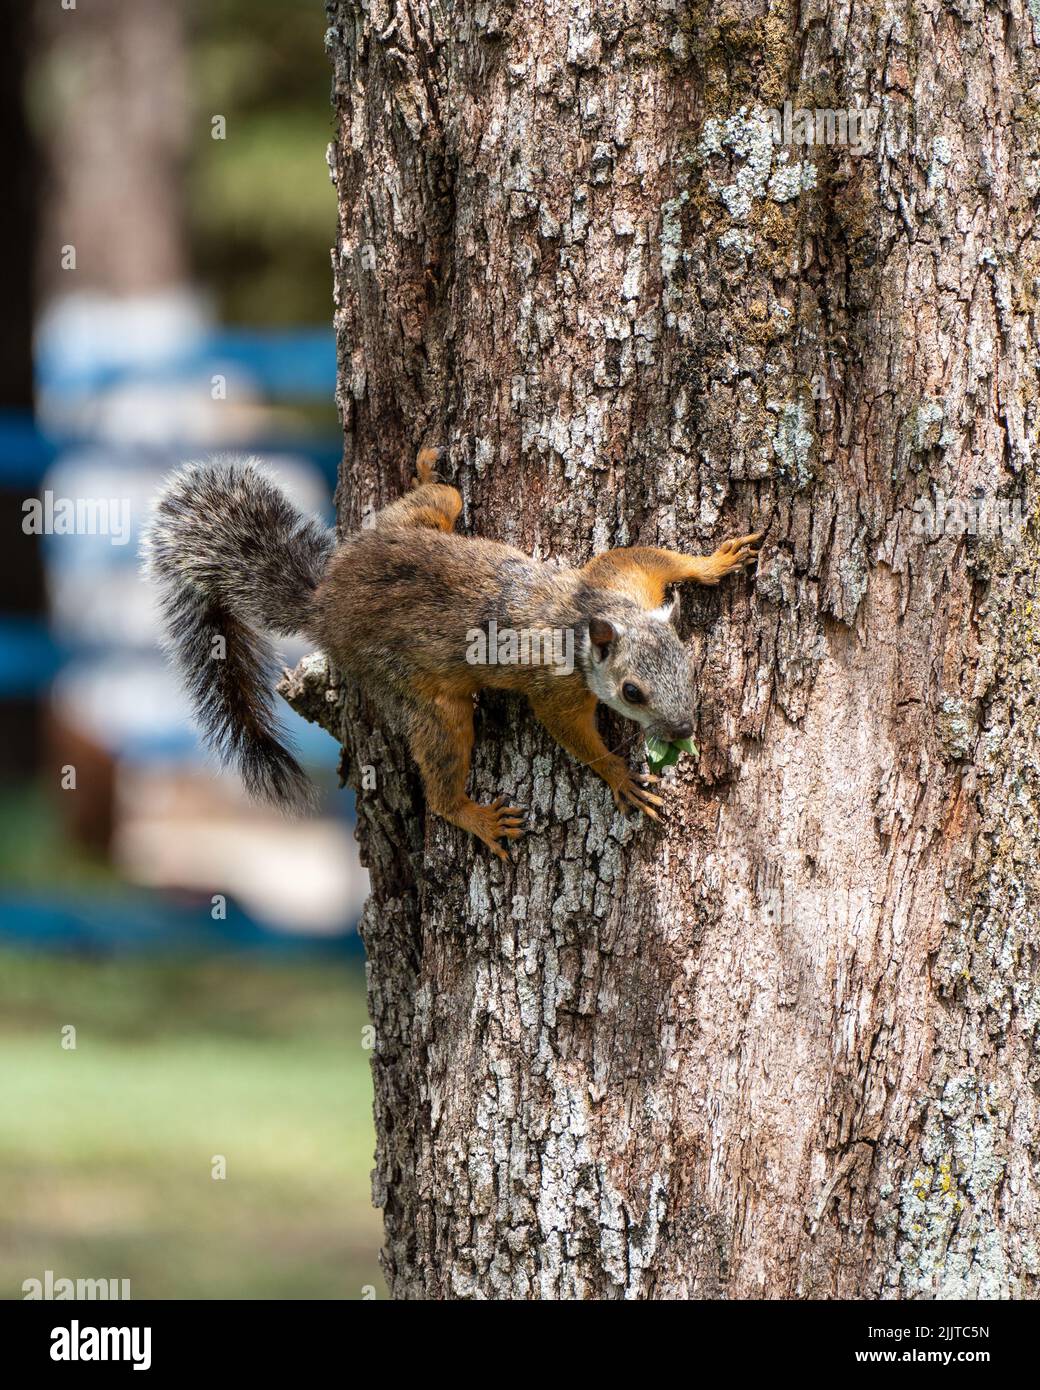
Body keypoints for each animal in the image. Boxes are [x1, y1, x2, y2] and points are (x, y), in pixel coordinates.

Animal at [142, 450, 761, 850]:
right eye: (632, 692)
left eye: (688, 664)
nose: (683, 731)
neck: (591, 620)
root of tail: (326, 600)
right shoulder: (556, 686)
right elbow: (570, 732)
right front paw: (619, 774)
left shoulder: (622, 577)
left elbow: (652, 555)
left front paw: (715, 562)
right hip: (420, 694)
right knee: (441, 761)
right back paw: (473, 817)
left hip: (421, 517)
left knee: (438, 493)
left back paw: (423, 463)